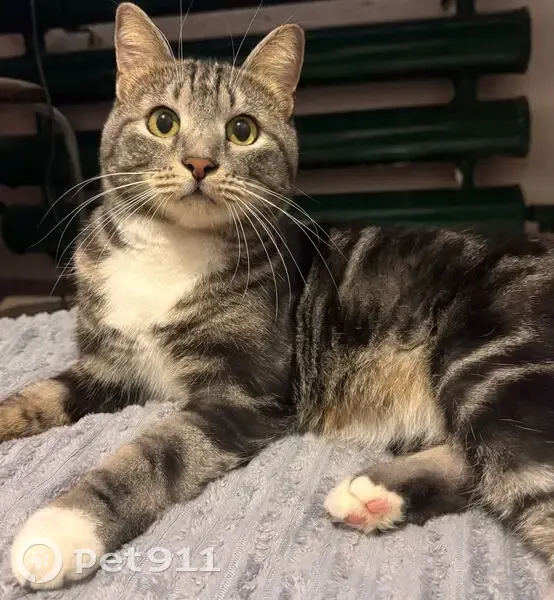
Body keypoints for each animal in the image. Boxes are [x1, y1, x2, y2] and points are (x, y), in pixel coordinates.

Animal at [3, 1, 554, 590]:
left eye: (242, 130)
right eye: (162, 121)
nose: (200, 162)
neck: (173, 249)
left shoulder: (243, 393)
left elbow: (158, 452)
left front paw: (65, 525)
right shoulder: (107, 364)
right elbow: (40, 395)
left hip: (495, 363)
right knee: (478, 465)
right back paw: (375, 496)